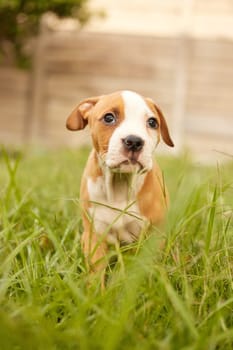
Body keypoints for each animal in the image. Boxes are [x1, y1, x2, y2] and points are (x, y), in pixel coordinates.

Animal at [65, 91, 173, 276]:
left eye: (152, 122)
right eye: (109, 118)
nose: (134, 141)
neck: (120, 185)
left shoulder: (154, 236)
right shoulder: (95, 236)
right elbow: (96, 275)